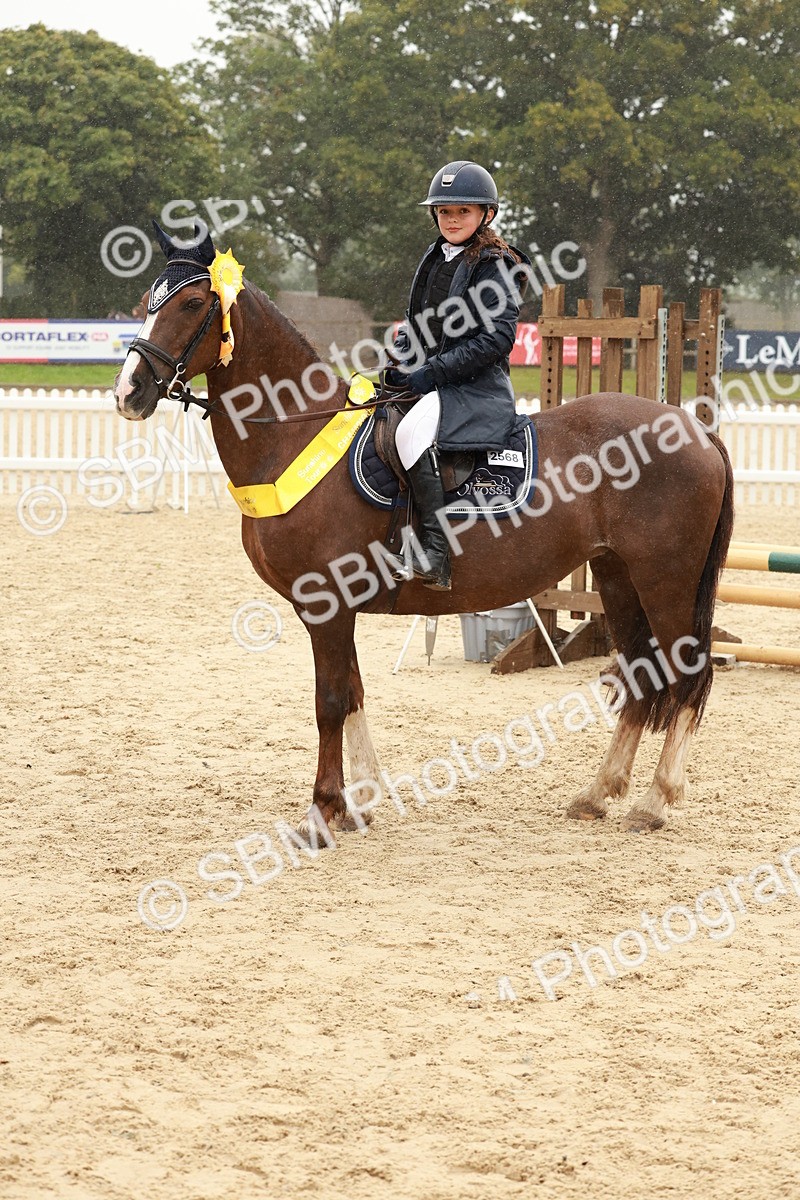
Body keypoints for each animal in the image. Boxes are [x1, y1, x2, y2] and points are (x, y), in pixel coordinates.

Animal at [113, 226, 734, 837]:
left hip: (664, 581)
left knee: (684, 673)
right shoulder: (336, 610)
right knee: (642, 674)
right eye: (147, 302)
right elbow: (355, 692)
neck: (293, 434)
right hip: (617, 577)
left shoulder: (325, 604)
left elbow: (329, 701)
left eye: (192, 304)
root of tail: (694, 430)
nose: (128, 392)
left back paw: (654, 801)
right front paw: (360, 802)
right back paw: (599, 794)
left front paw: (323, 811)